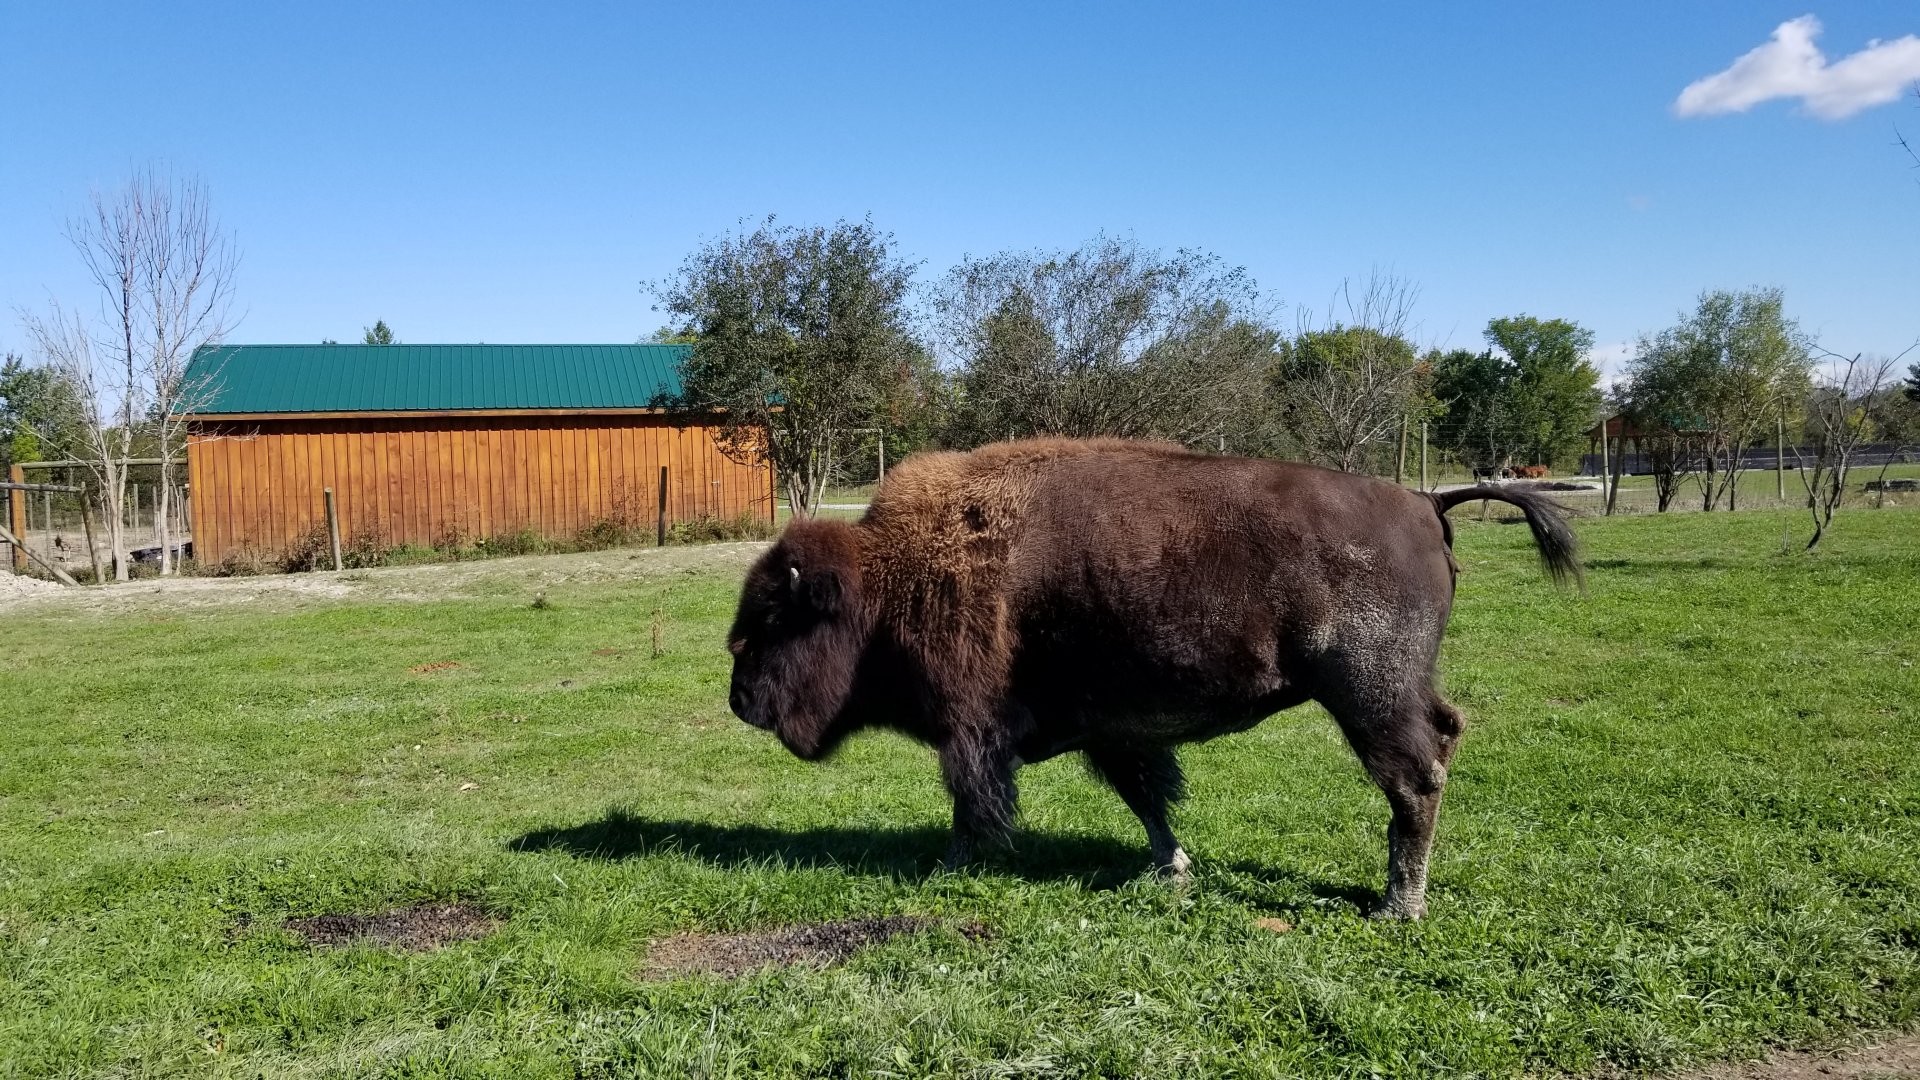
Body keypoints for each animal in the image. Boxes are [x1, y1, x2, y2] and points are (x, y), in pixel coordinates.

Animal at [726, 439, 1580, 919]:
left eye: (775, 617)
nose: (738, 699)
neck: (887, 576)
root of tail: (1425, 501)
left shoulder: (970, 734)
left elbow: (973, 809)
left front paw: (947, 868)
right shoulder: (1112, 731)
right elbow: (1146, 798)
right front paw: (1169, 870)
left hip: (1369, 696)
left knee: (1414, 780)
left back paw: (1398, 908)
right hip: (1400, 688)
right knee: (1445, 739)